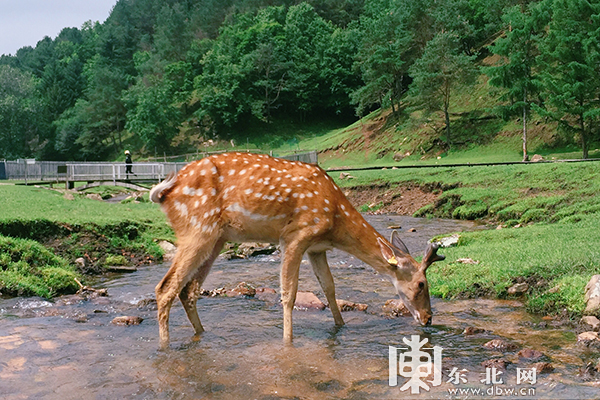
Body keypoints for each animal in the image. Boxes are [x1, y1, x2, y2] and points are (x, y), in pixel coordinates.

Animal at [148, 152, 442, 348]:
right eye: (421, 284)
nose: (428, 318)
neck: (335, 222)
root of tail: (163, 193)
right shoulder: (295, 236)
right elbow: (289, 293)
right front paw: (288, 341)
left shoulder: (317, 248)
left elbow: (329, 287)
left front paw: (341, 327)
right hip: (197, 229)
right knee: (165, 287)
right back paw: (164, 346)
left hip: (217, 238)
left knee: (189, 290)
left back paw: (202, 334)